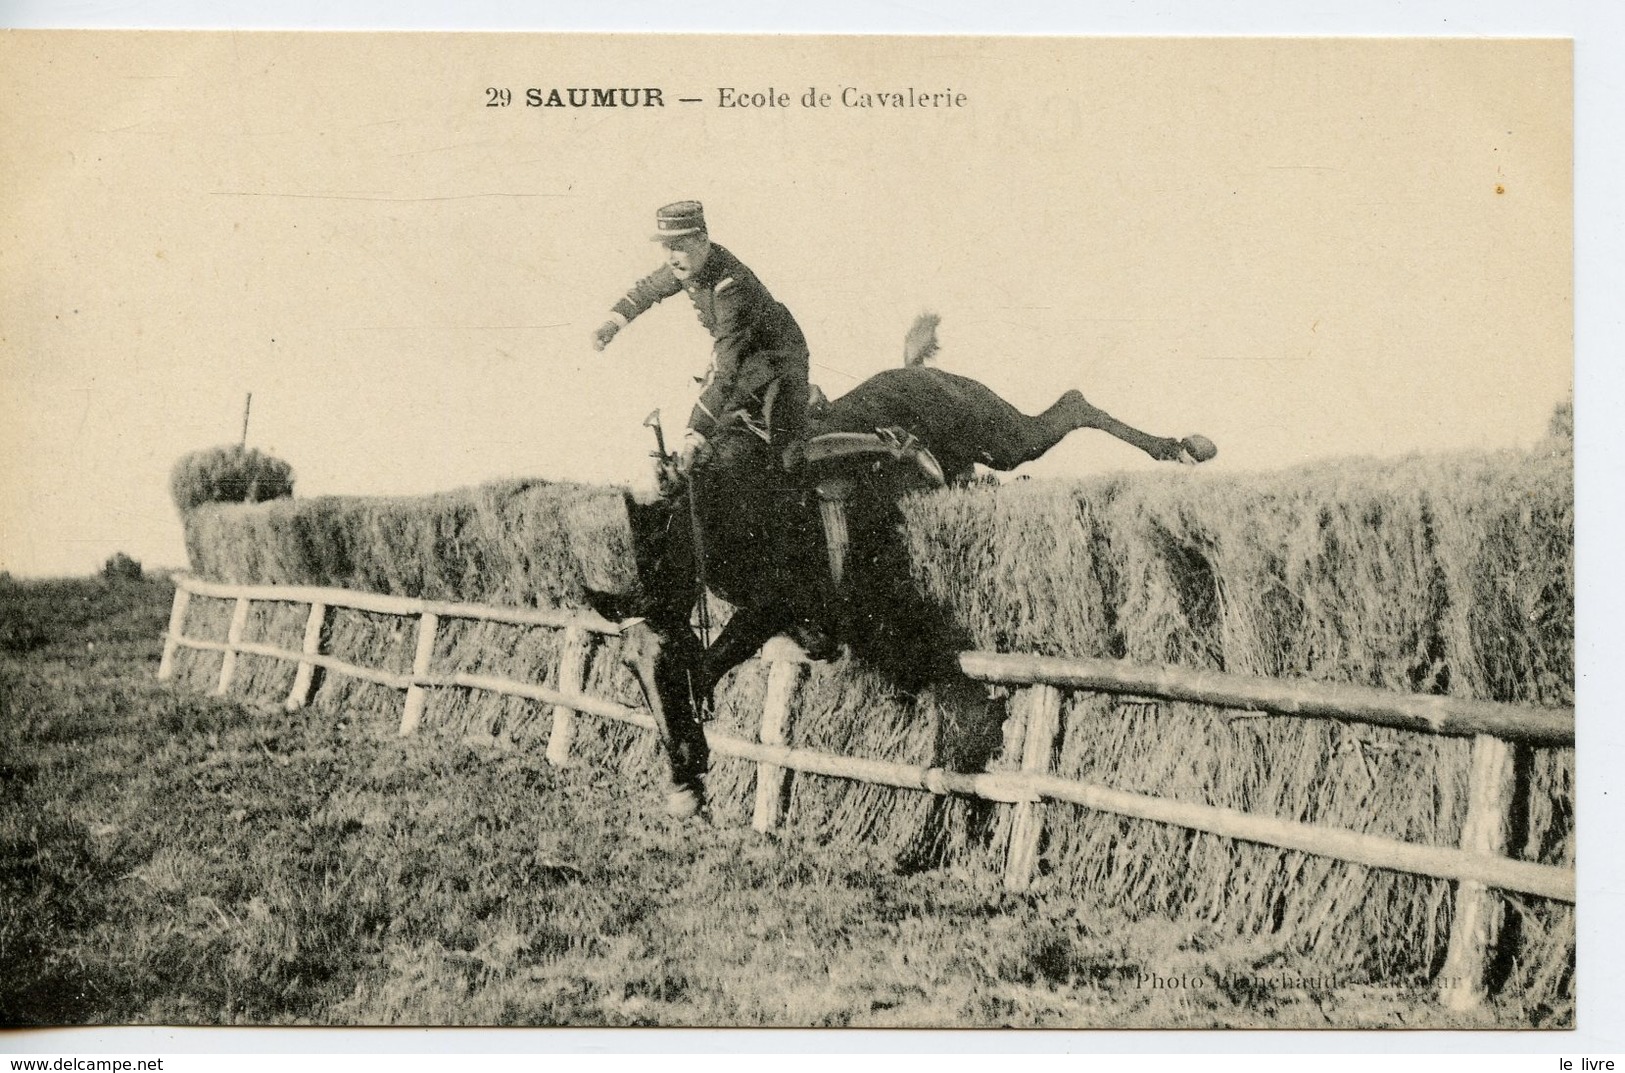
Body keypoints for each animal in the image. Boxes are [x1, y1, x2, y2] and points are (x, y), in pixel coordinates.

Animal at [594, 313, 1209, 816]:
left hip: (1002, 435)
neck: (729, 502)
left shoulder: (772, 602)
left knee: (1073, 405)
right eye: (629, 666)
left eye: (669, 657)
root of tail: (922, 372)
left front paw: (689, 769)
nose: (679, 774)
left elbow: (710, 663)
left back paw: (1184, 446)